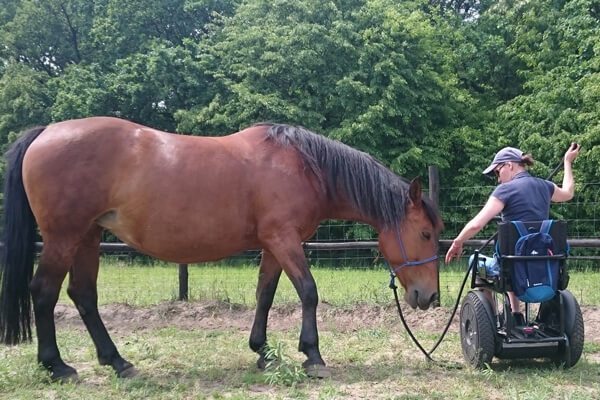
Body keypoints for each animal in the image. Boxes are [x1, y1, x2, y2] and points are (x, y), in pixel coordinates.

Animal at [0, 116, 440, 382]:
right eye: (425, 234)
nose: (430, 298)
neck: (303, 166)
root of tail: (45, 132)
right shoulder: (284, 239)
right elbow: (308, 292)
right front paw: (312, 355)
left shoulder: (272, 244)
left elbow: (265, 295)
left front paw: (263, 351)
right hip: (64, 237)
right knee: (44, 293)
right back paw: (57, 365)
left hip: (88, 238)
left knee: (83, 295)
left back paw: (118, 361)